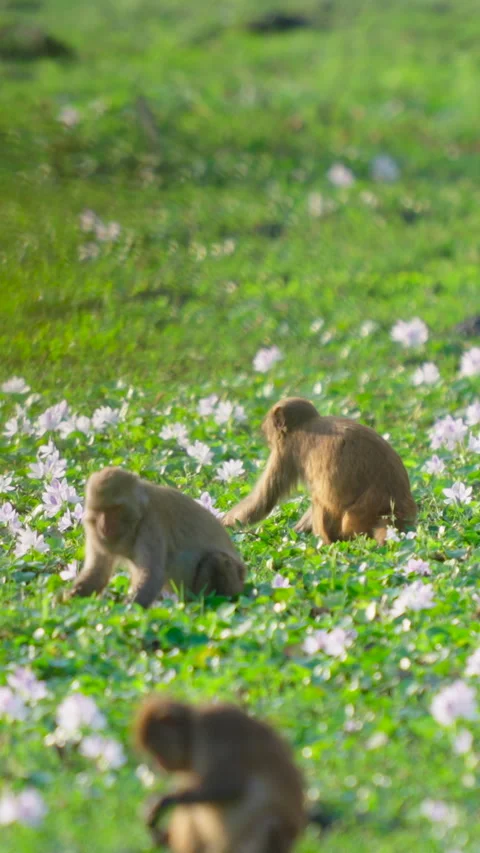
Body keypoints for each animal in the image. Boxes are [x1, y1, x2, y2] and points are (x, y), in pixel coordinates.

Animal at [68, 467, 246, 608]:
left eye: (115, 509)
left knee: (216, 560)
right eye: (100, 510)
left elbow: (152, 575)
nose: (104, 526)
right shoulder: (92, 531)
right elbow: (97, 574)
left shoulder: (151, 525)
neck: (139, 514)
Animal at [135, 695, 306, 853]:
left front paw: (163, 801)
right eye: (152, 752)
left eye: (155, 749)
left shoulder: (216, 730)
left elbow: (232, 787)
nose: (158, 765)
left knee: (271, 825)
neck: (193, 735)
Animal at [222, 397, 417, 545]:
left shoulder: (285, 450)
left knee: (319, 500)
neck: (306, 423)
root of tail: (392, 511)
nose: (269, 438)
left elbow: (263, 500)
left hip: (353, 522)